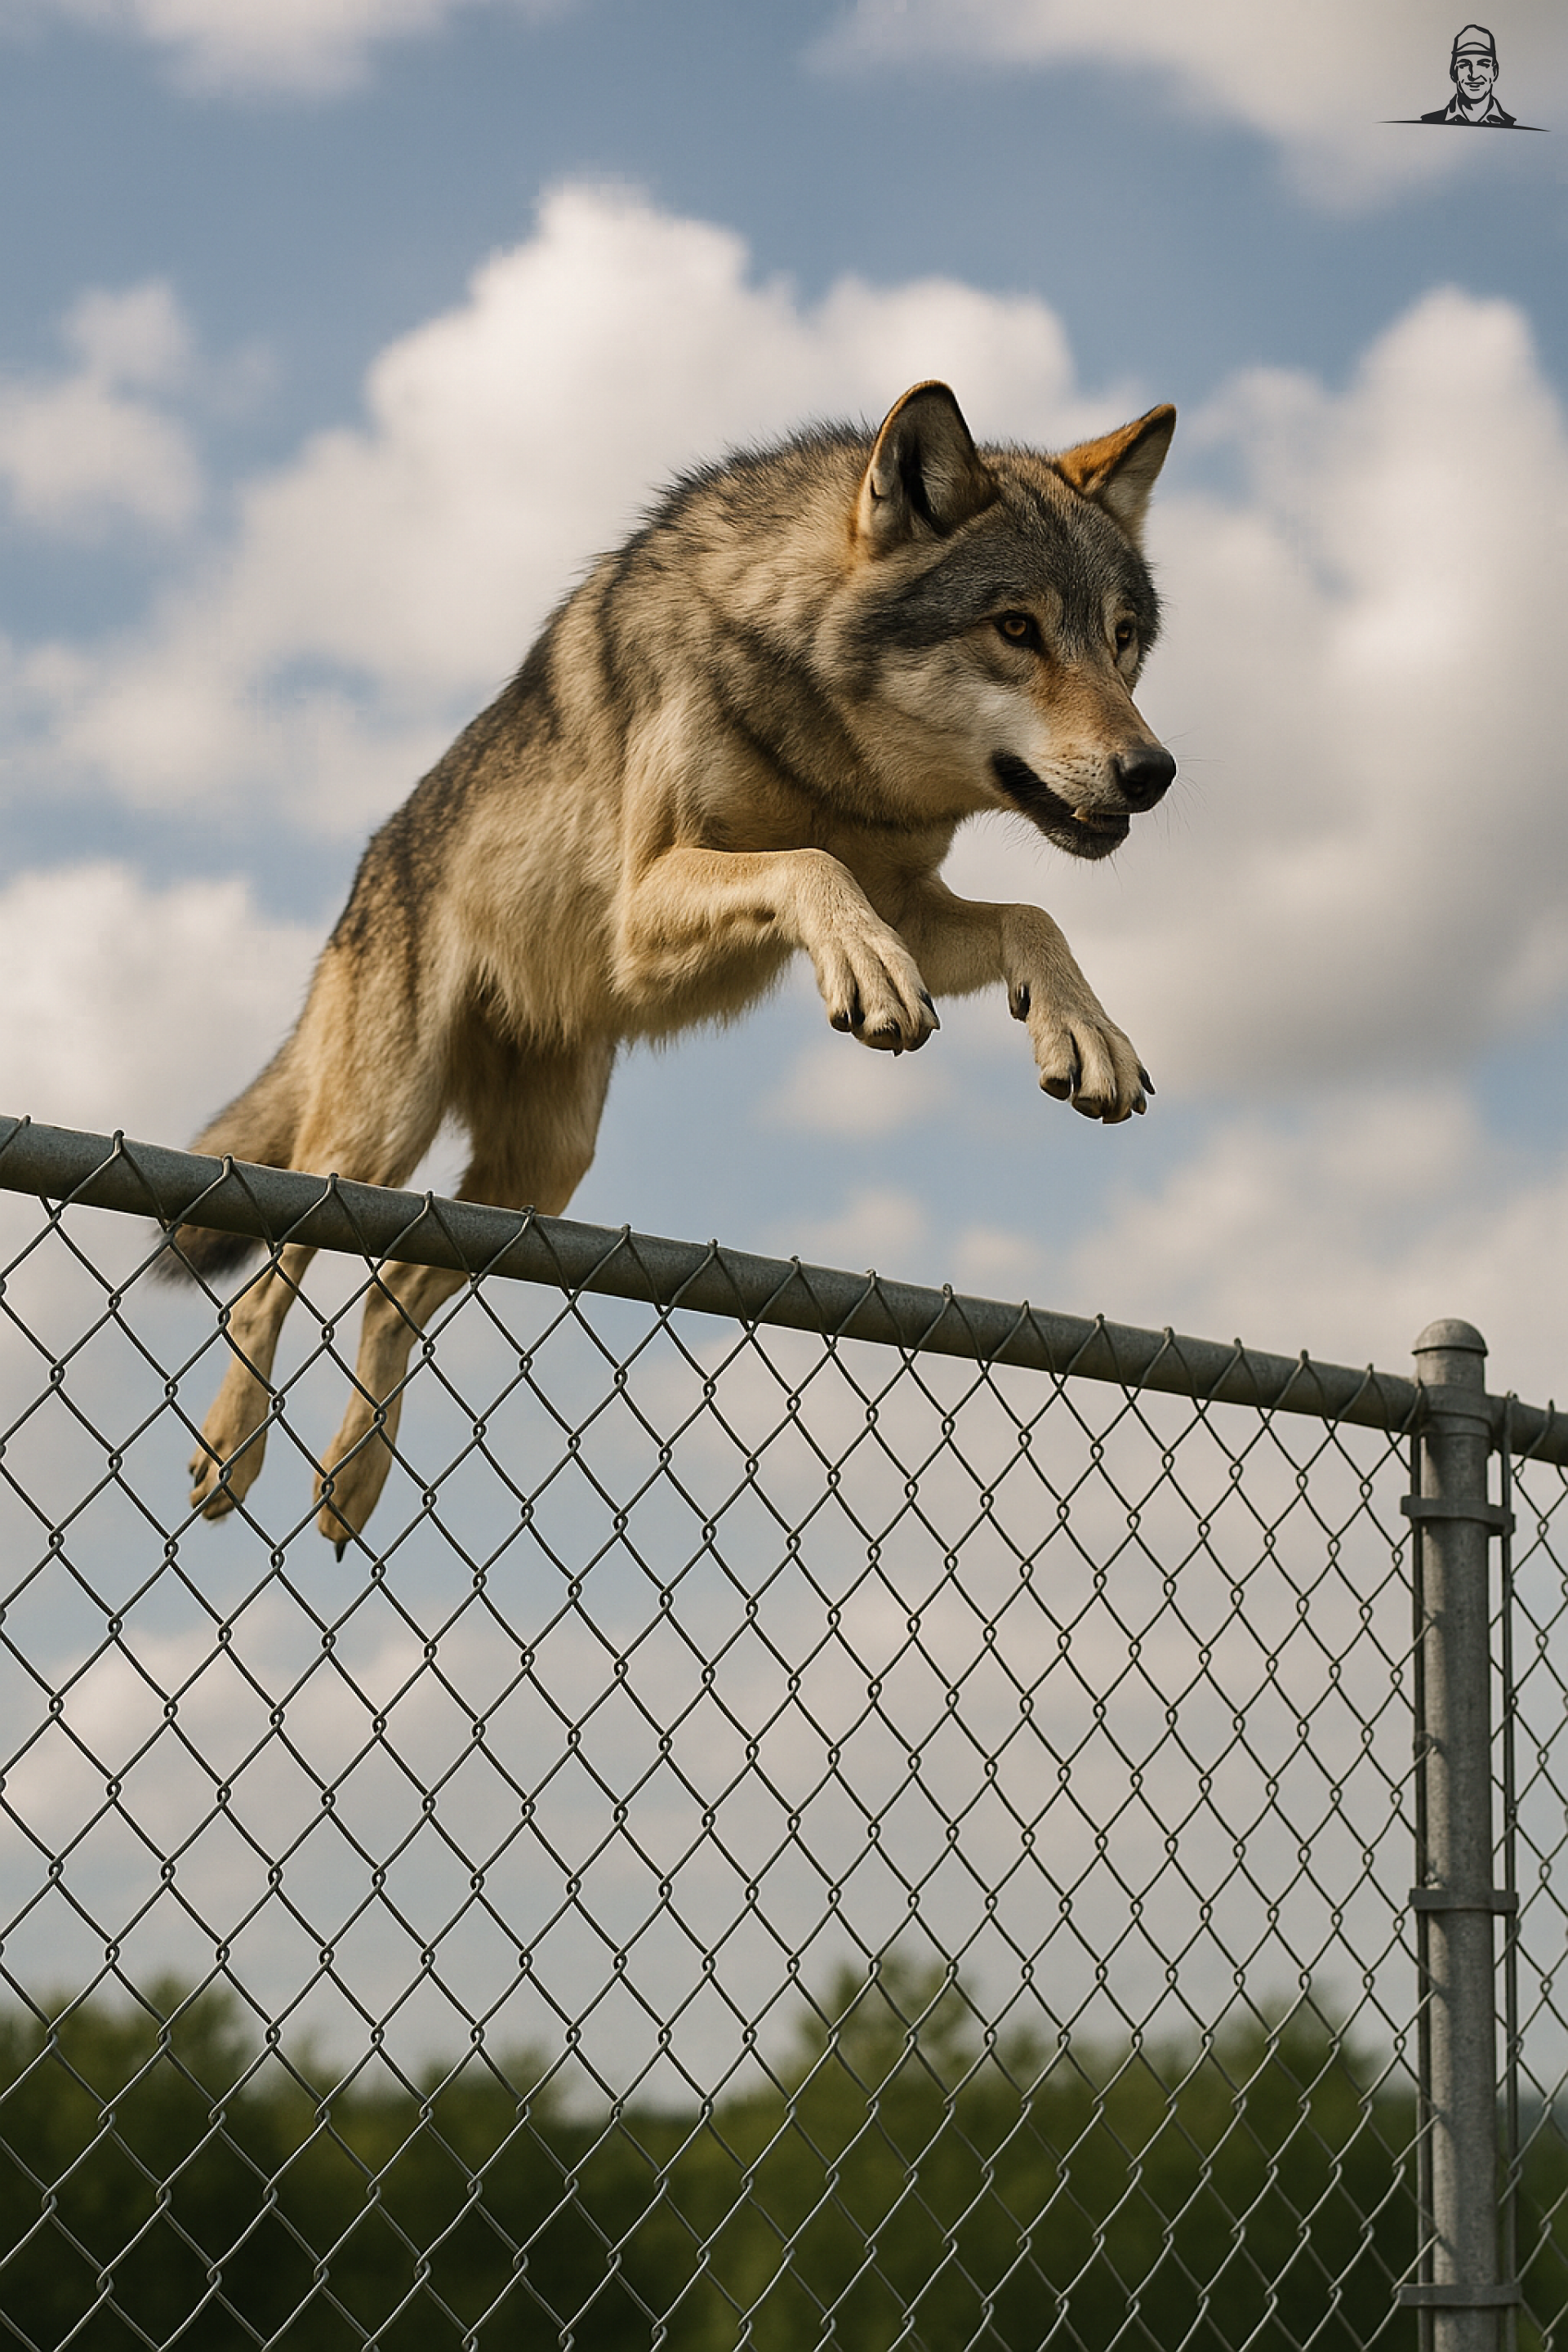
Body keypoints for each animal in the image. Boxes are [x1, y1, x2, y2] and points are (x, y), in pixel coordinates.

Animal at [169, 380, 1178, 1550]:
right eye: (1017, 628)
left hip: (540, 1176)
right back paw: (229, 1454)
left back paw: (351, 1486)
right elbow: (812, 863)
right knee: (265, 1281)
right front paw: (870, 977)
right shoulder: (645, 907)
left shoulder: (911, 899)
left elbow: (1034, 915)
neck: (829, 747)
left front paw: (1089, 1037)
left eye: (1120, 641)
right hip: (375, 1138)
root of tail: (360, 881)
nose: (1153, 772)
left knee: (388, 1293)